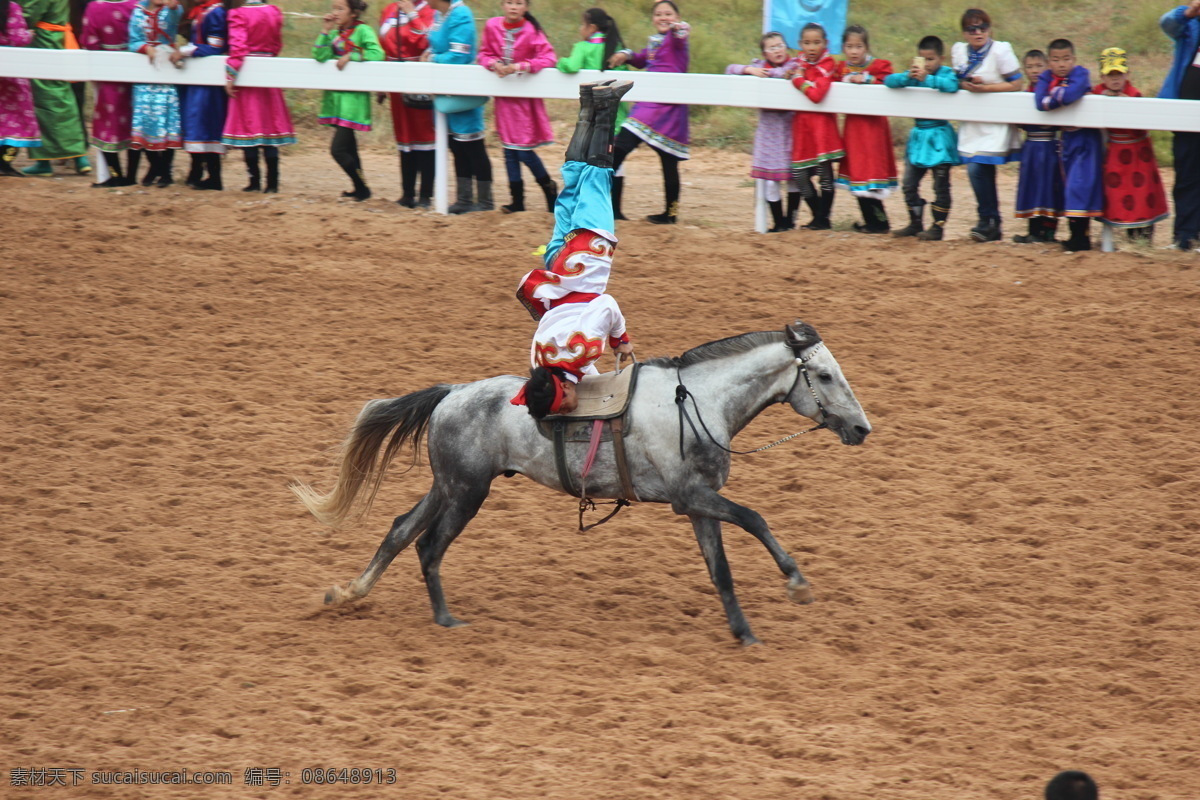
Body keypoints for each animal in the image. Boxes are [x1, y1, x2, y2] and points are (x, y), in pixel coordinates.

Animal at [292, 319, 873, 642]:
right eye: (824, 376)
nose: (862, 428)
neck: (695, 404)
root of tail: (452, 393)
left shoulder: (698, 503)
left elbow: (721, 571)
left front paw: (744, 633)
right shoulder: (691, 497)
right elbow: (755, 518)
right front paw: (797, 583)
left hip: (449, 486)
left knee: (400, 530)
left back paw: (350, 592)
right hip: (467, 493)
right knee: (429, 546)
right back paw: (445, 620)